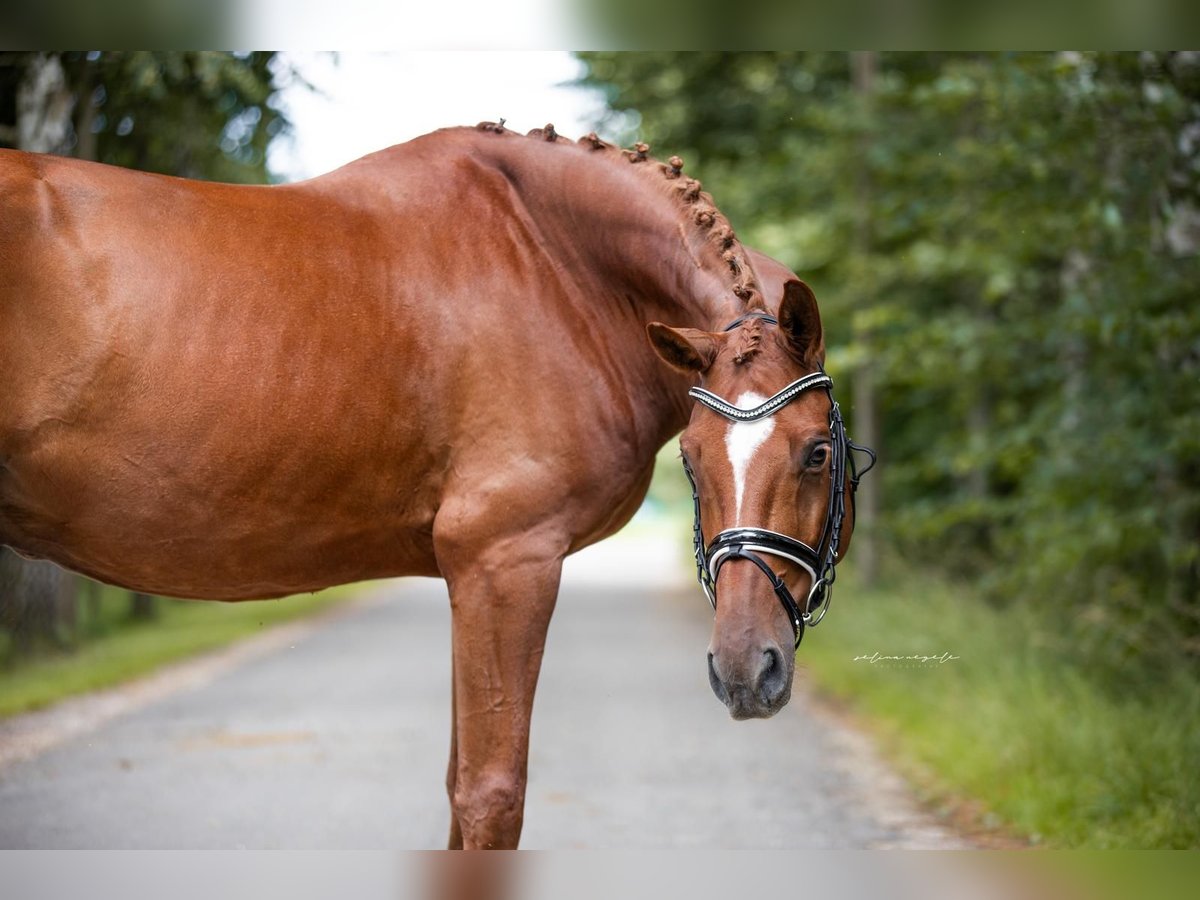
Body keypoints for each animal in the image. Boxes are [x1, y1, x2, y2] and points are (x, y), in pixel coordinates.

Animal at [0, 123, 864, 849]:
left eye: (817, 453)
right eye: (690, 458)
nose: (746, 671)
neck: (556, 262)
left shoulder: (469, 574)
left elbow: (457, 790)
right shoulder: (505, 561)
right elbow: (491, 796)